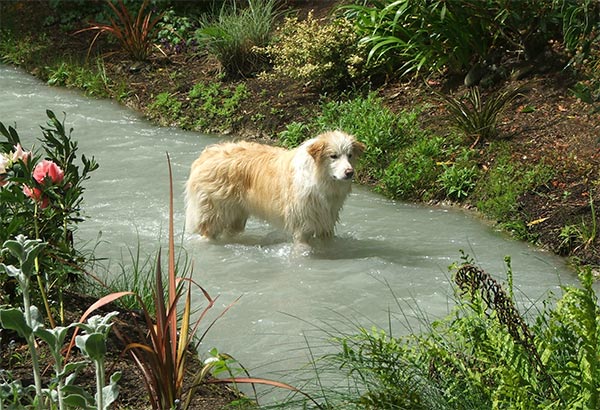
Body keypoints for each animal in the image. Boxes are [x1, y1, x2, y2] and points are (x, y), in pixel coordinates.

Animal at [184, 131, 366, 243]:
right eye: (333, 156)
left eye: (350, 155)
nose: (350, 172)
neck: (319, 180)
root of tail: (207, 154)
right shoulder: (302, 226)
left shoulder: (325, 223)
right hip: (214, 214)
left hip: (236, 216)